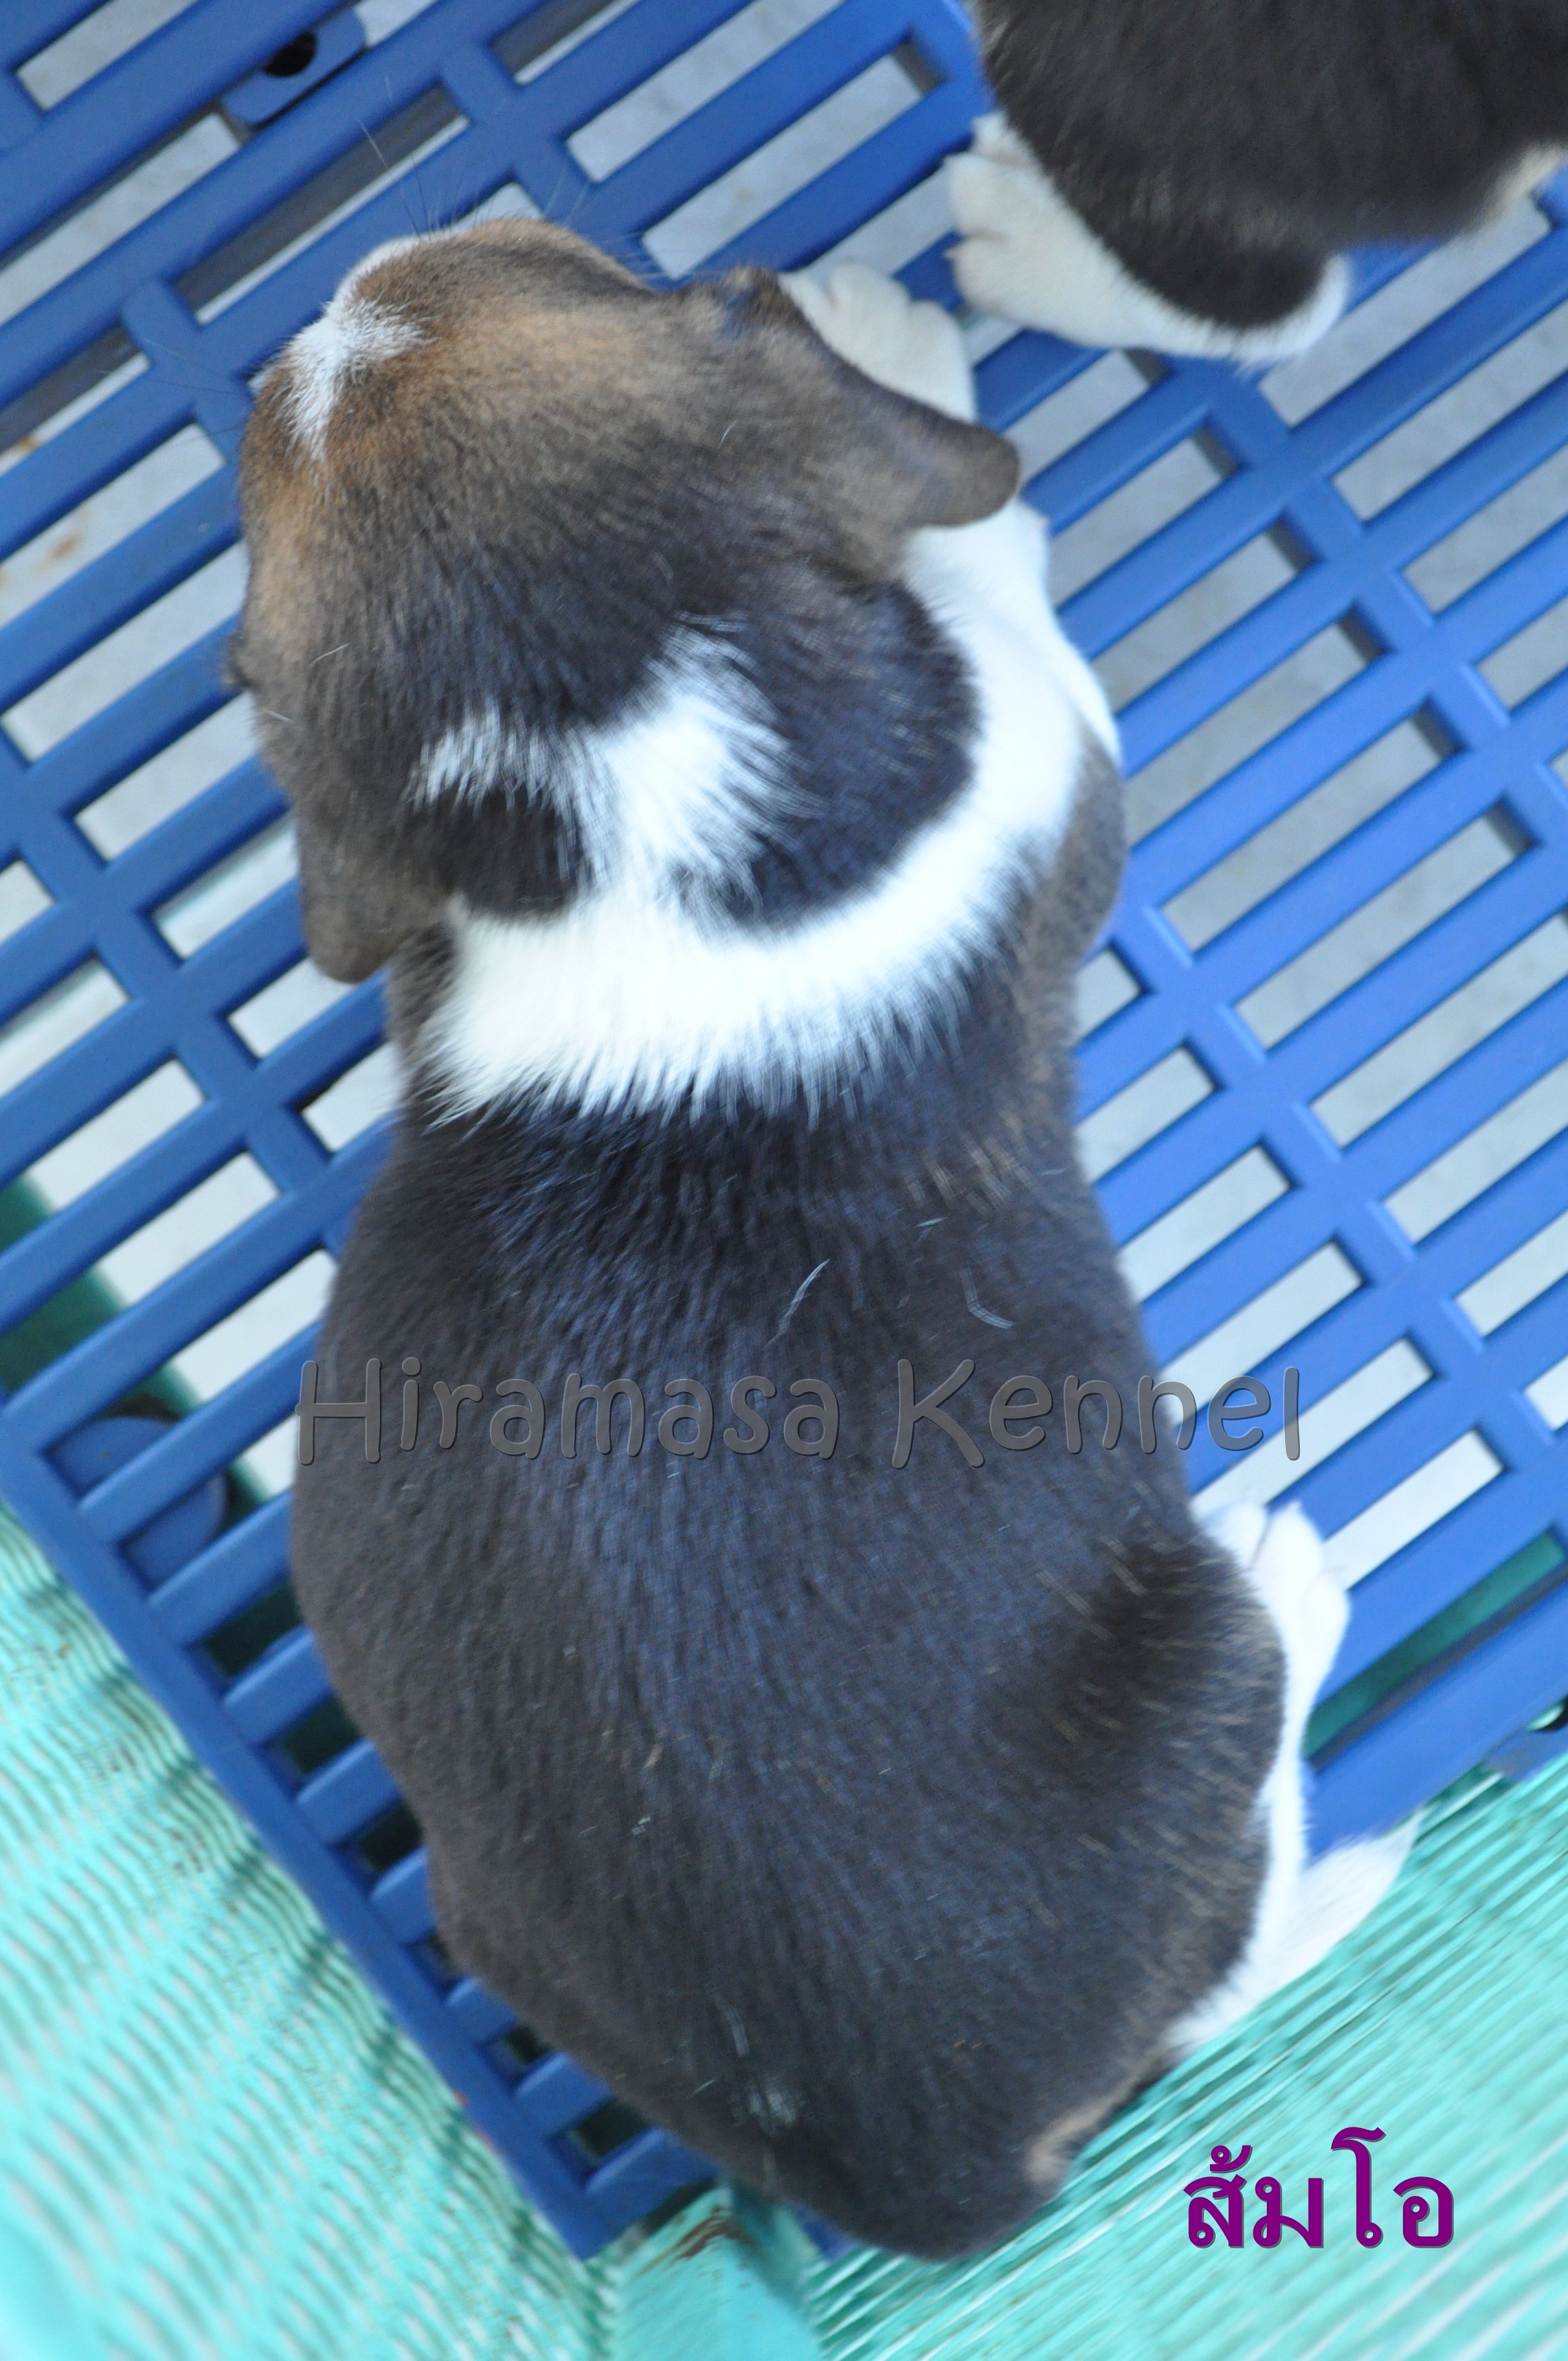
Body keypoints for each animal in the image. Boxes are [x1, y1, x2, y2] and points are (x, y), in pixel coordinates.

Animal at [232, 219, 1412, 2259]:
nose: (351, 271)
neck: (628, 783)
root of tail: (951, 2184)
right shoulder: (1044, 734)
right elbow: (986, 566)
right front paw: (895, 343)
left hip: (478, 1904)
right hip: (1199, 1667)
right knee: (1233, 1904)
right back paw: (1296, 1579)